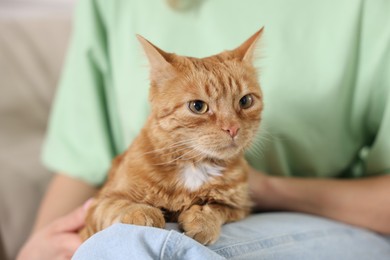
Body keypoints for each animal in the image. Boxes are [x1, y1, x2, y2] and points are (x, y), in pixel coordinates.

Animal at [81, 28, 266, 246]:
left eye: (246, 101)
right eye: (198, 106)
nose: (233, 128)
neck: (195, 166)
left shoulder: (240, 207)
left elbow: (216, 208)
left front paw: (203, 220)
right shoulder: (97, 205)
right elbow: (118, 205)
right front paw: (144, 213)